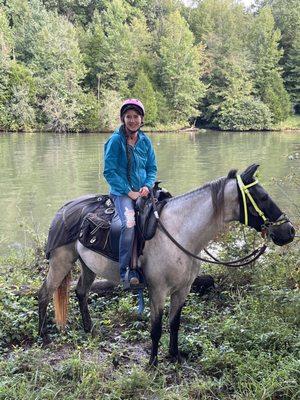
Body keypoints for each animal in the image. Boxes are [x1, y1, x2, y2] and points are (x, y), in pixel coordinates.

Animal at [38, 163, 296, 366]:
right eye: (263, 197)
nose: (289, 231)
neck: (180, 233)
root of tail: (63, 209)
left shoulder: (183, 289)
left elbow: (175, 324)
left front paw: (175, 356)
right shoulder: (158, 291)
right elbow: (156, 328)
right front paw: (152, 363)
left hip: (87, 265)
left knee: (81, 292)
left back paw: (89, 329)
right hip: (61, 261)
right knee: (44, 293)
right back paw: (44, 337)